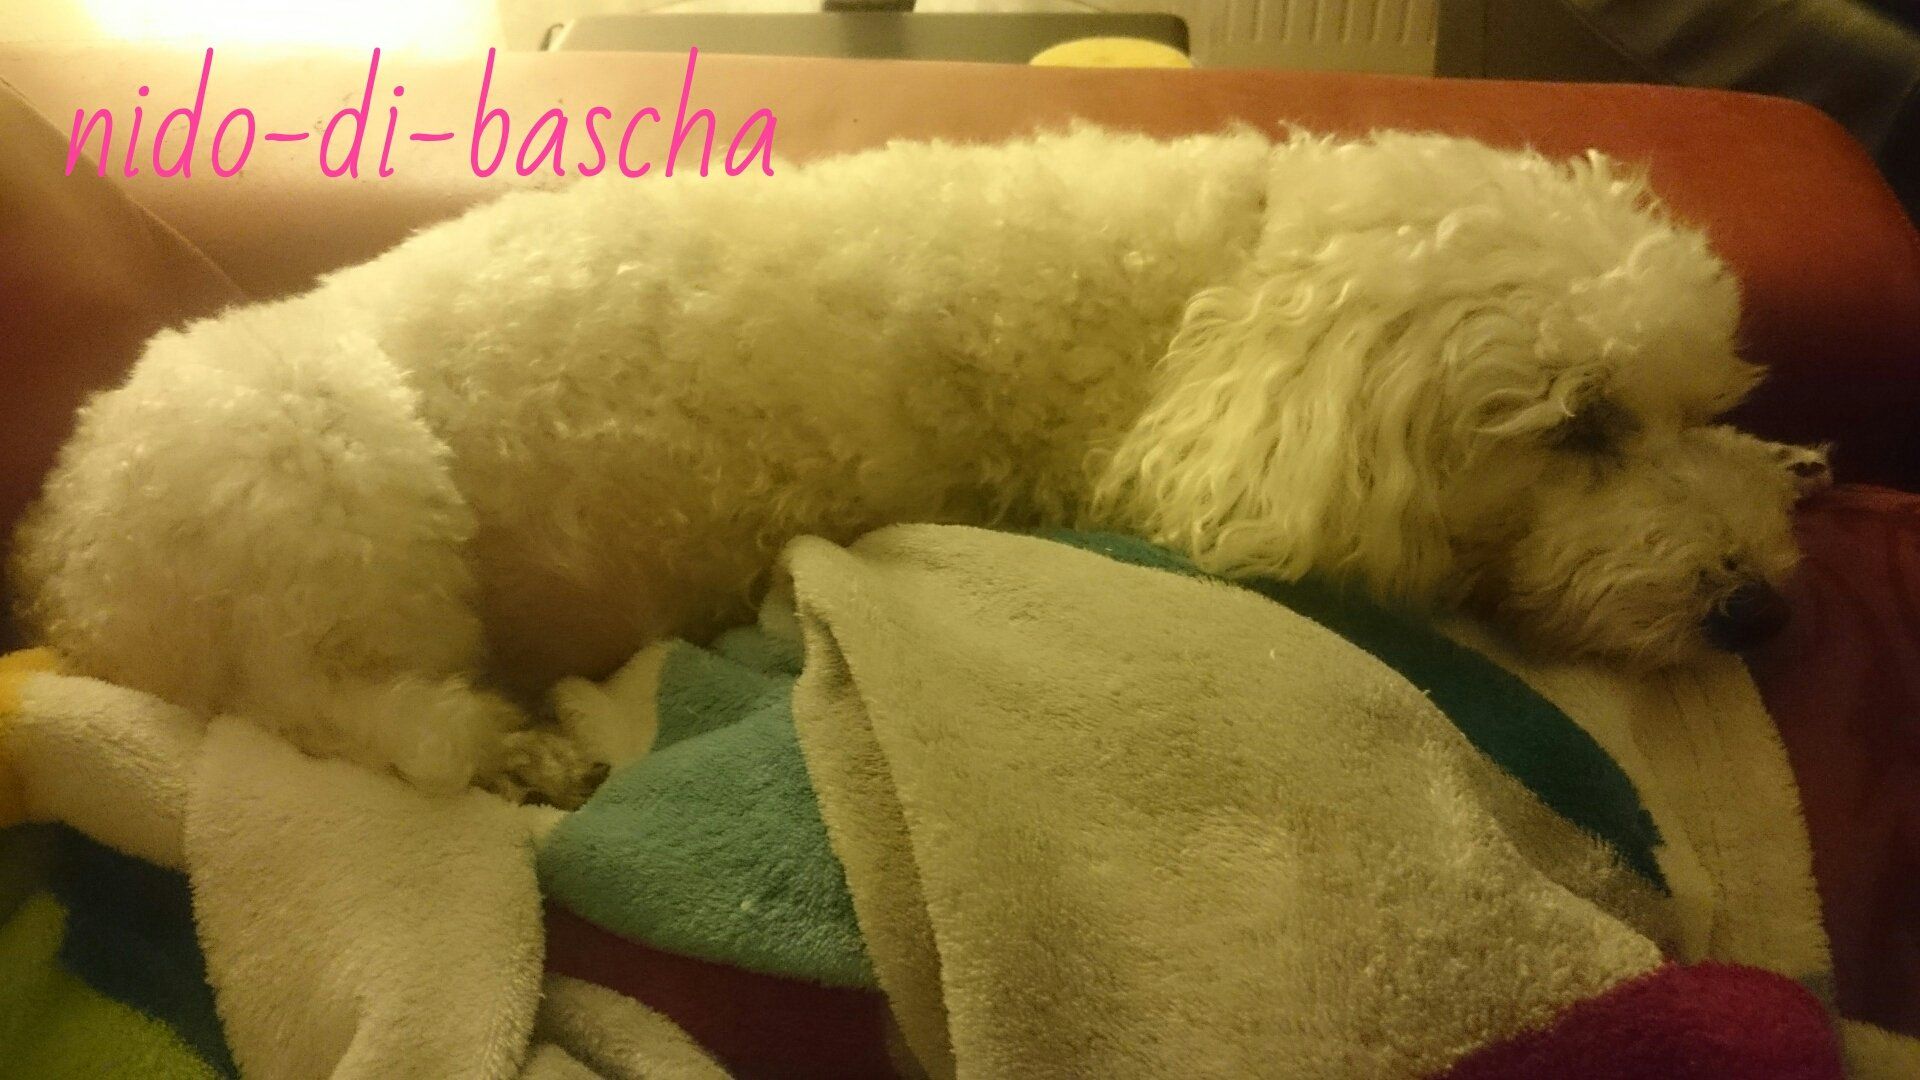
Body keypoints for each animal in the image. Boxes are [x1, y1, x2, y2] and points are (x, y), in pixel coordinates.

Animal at [9, 126, 1829, 807]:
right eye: (1581, 425)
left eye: (1704, 402)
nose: (1758, 610)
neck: (1224, 293)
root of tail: (67, 558)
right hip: (320, 467)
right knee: (330, 703)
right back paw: (509, 750)